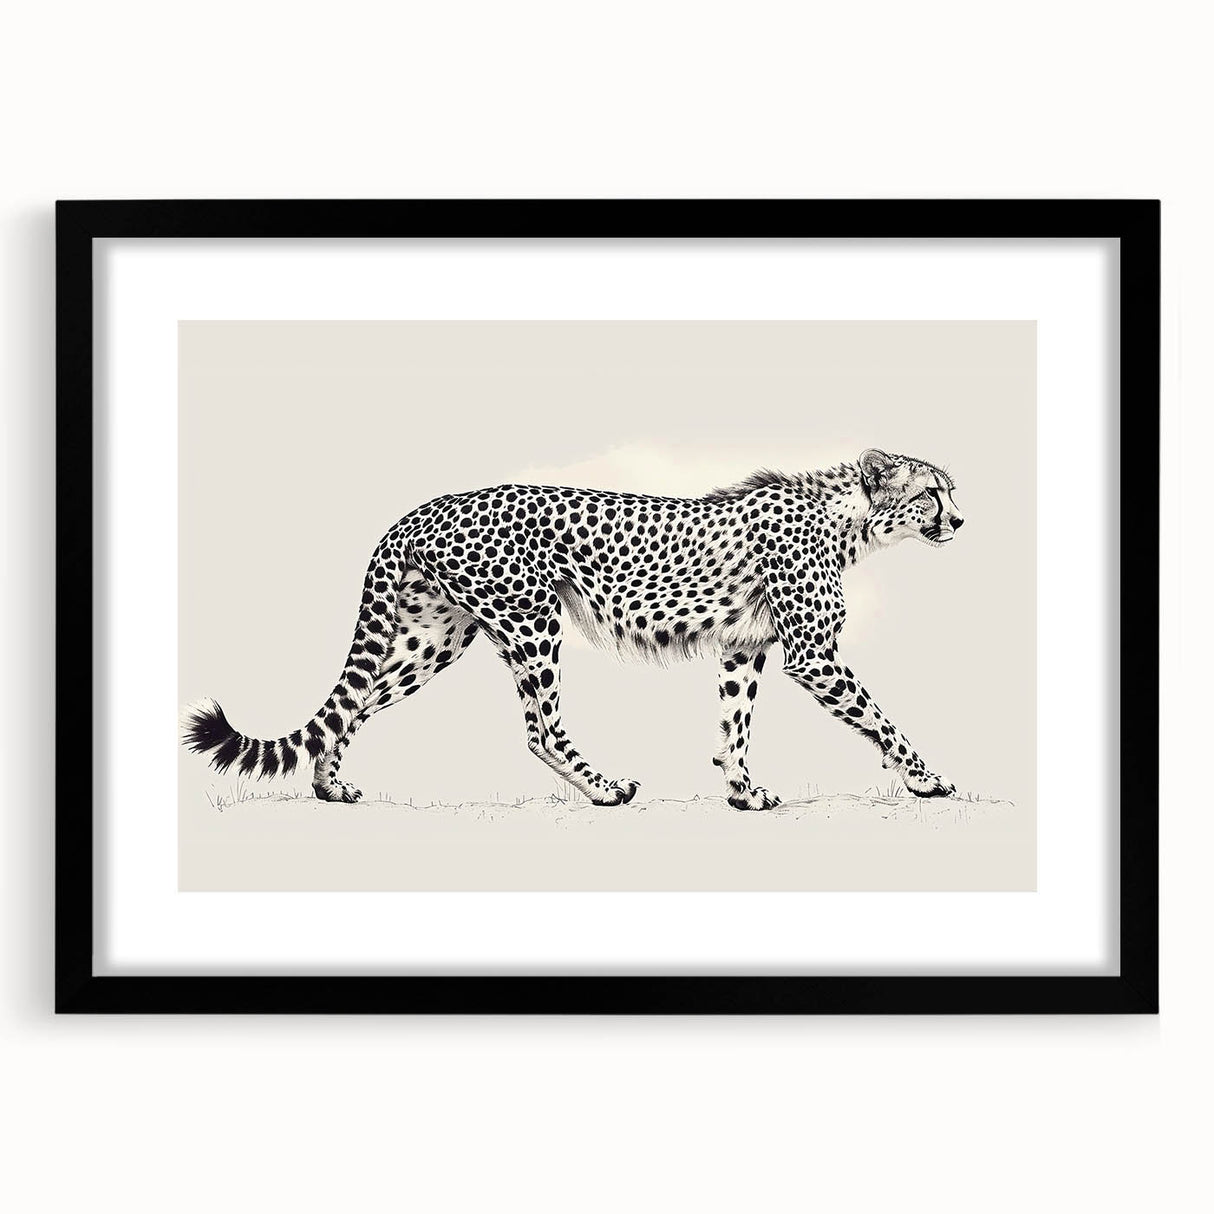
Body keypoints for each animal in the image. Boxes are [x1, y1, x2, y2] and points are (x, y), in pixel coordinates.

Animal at [183, 448, 965, 809]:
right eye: (931, 492)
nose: (960, 520)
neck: (852, 518)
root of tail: (423, 507)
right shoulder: (812, 654)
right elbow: (883, 721)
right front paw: (927, 779)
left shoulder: (744, 648)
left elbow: (734, 726)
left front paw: (744, 793)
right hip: (533, 620)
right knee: (541, 728)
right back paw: (606, 789)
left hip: (435, 637)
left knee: (357, 702)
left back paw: (331, 787)